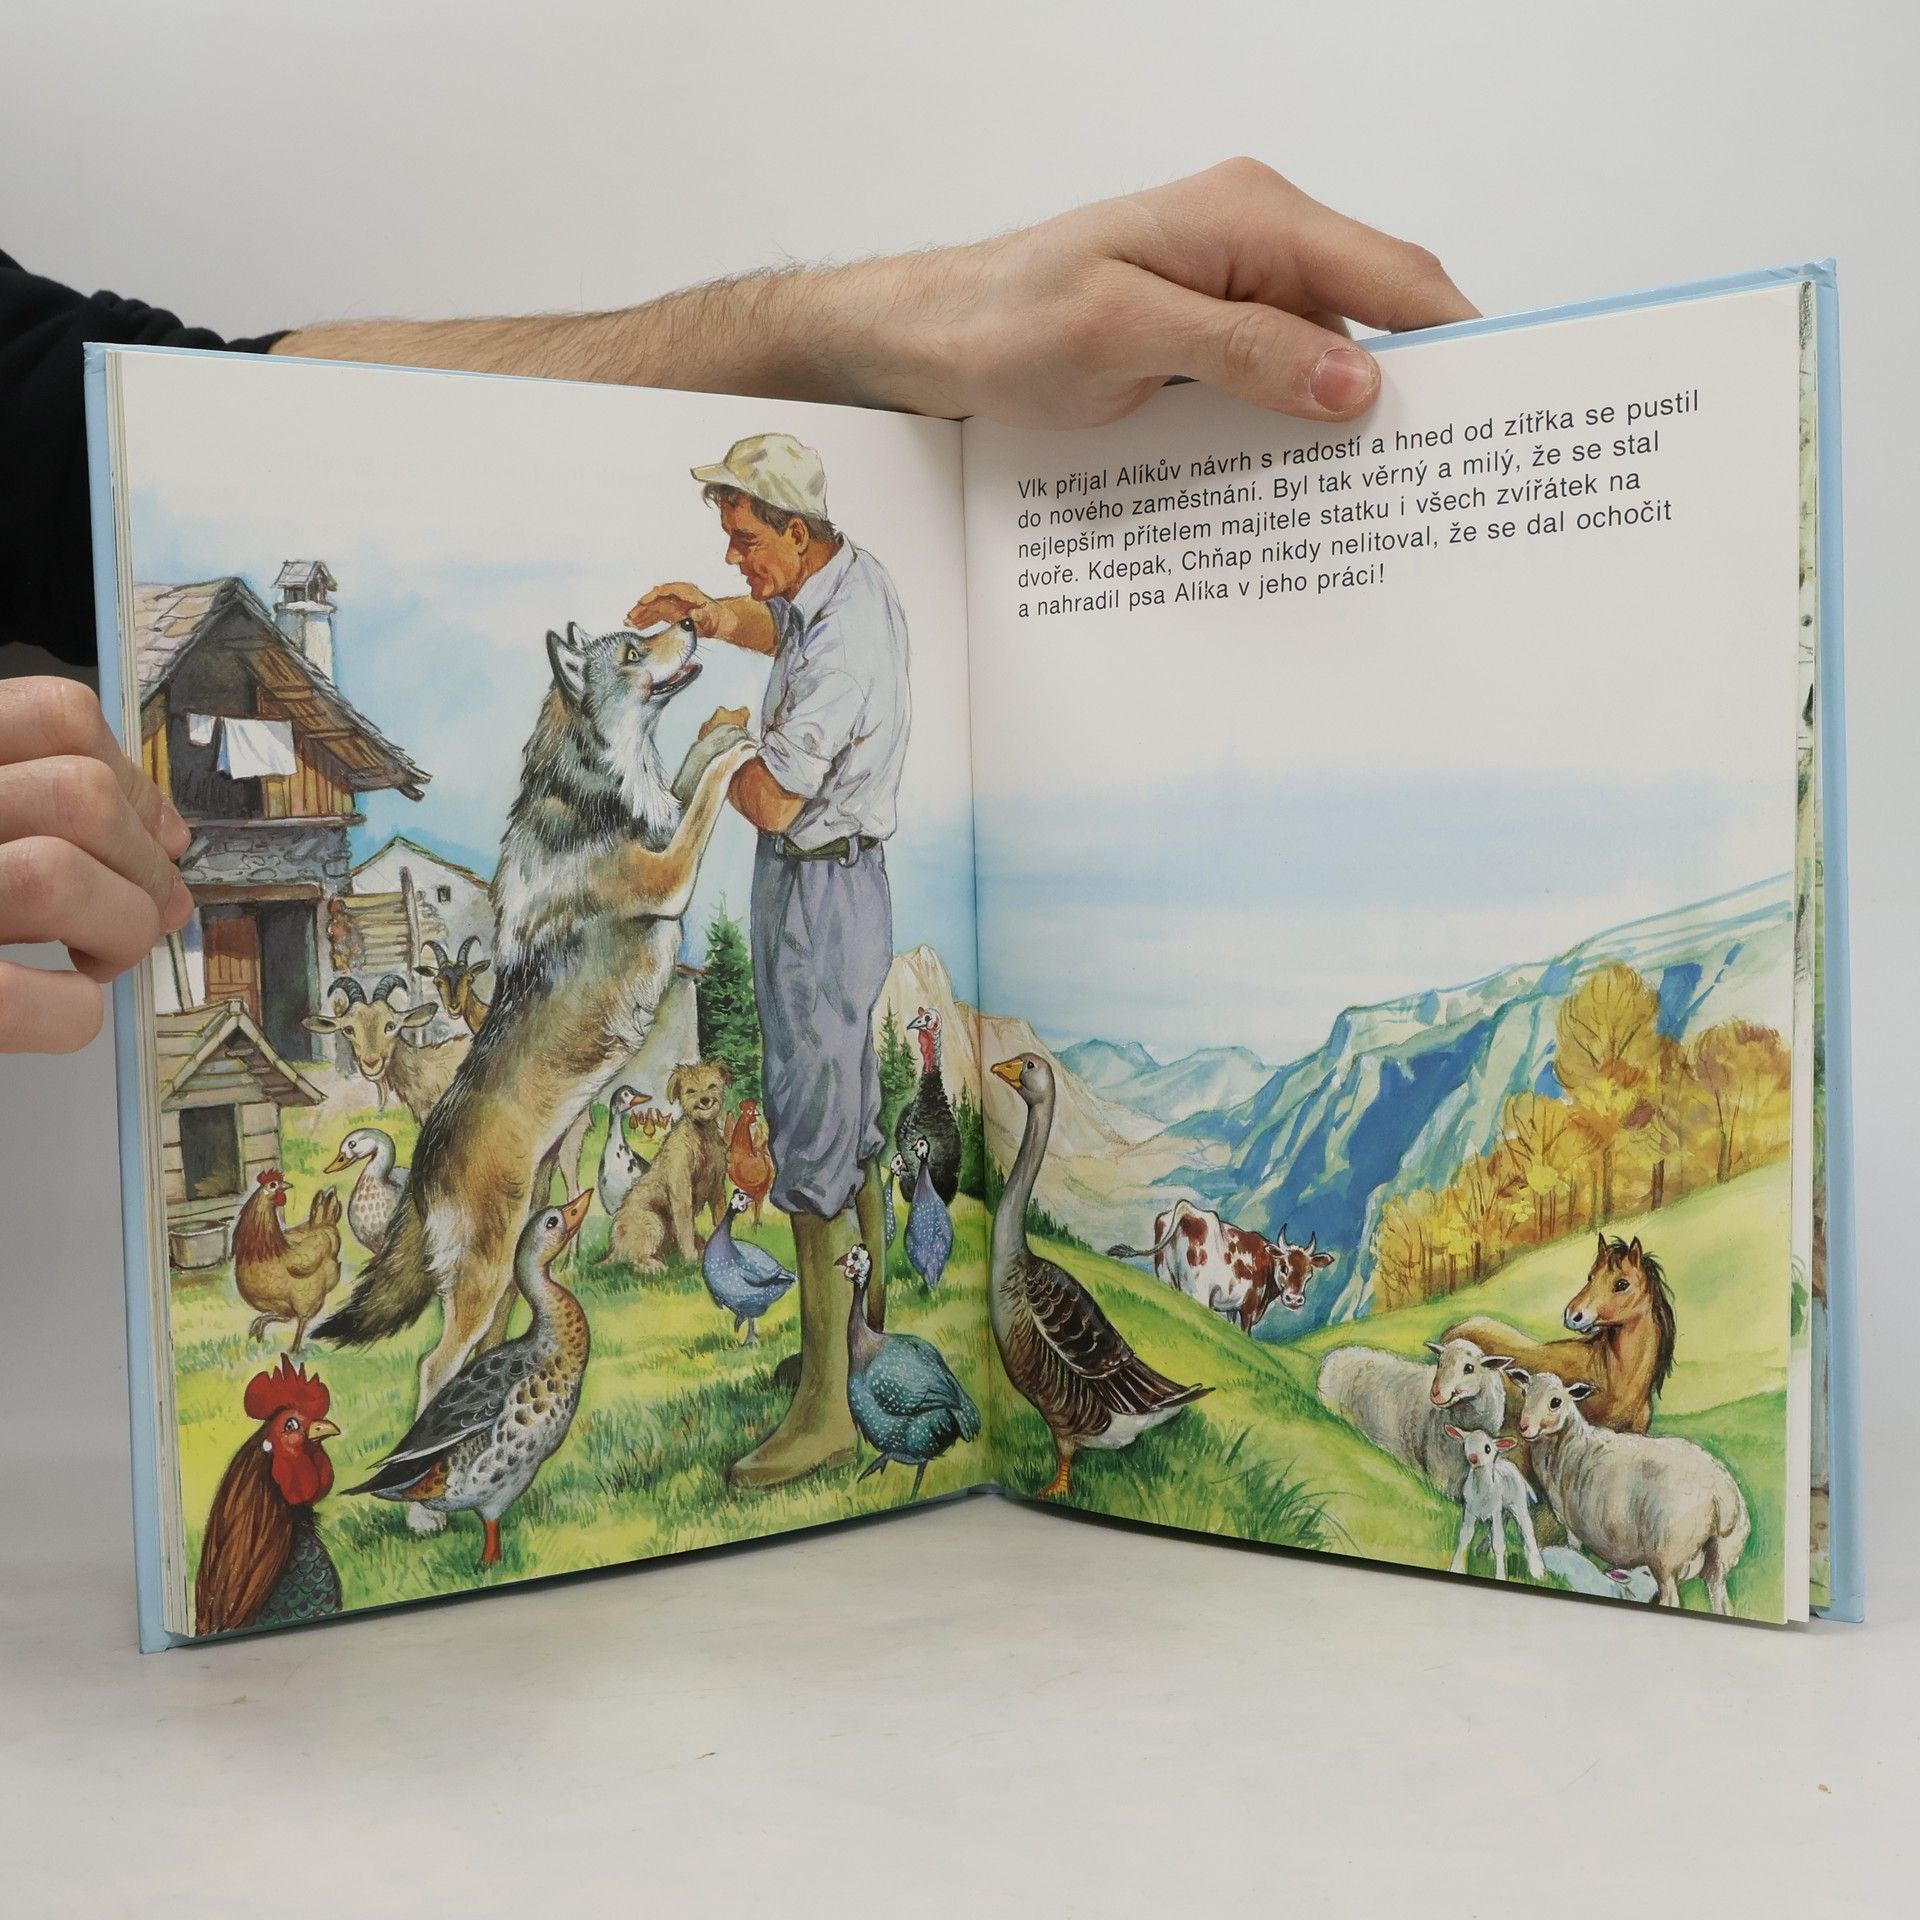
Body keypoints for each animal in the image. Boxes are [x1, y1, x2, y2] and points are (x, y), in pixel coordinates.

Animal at [607, 1060, 732, 1271]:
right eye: (690, 1091)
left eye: (712, 1086)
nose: (705, 1100)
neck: (701, 1133)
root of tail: (615, 1248)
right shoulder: (681, 1191)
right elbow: (685, 1225)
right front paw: (691, 1258)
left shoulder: (717, 1187)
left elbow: (721, 1216)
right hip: (654, 1221)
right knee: (635, 1259)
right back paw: (656, 1267)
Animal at [1446, 1425, 1543, 1581]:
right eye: (1466, 1444)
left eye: (1487, 1449)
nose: (1473, 1458)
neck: (1482, 1492)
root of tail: (1509, 1464)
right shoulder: (1470, 1510)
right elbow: (1465, 1536)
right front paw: (1456, 1568)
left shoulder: (1495, 1511)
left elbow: (1499, 1543)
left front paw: (1501, 1576)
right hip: (1503, 1511)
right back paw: (1483, 1550)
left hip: (1518, 1504)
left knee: (1527, 1529)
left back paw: (1537, 1570)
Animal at [1513, 1369, 1750, 1613]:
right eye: (1524, 1393)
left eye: (1555, 1402)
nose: (1524, 1427)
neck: (1568, 1443)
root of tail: (1723, 1495)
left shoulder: (1571, 1522)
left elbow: (1573, 1549)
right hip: (1722, 1556)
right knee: (1721, 1599)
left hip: (1666, 1555)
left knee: (1671, 1598)